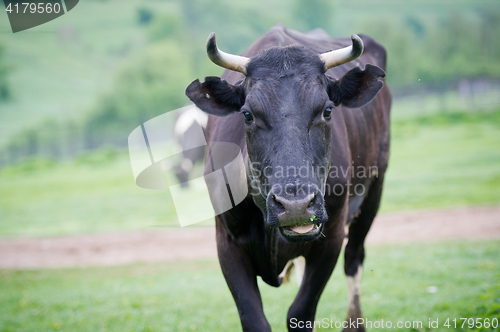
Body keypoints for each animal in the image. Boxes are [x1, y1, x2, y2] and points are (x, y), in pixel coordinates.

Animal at [187, 24, 390, 332]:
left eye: (327, 110)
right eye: (247, 114)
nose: (296, 206)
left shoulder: (331, 238)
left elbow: (300, 312)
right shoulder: (227, 242)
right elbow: (254, 319)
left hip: (374, 191)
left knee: (354, 259)